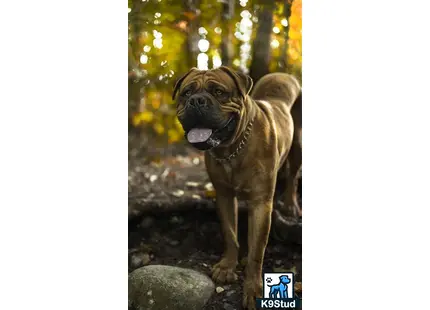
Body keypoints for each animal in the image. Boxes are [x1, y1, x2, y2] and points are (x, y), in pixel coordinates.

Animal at [172, 67, 302, 310]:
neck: (232, 148)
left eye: (218, 92)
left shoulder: (261, 204)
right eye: (186, 93)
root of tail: (284, 74)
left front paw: (253, 288)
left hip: (298, 144)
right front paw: (227, 267)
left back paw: (290, 204)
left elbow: (257, 250)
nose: (196, 101)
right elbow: (230, 234)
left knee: (293, 177)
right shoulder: (224, 196)